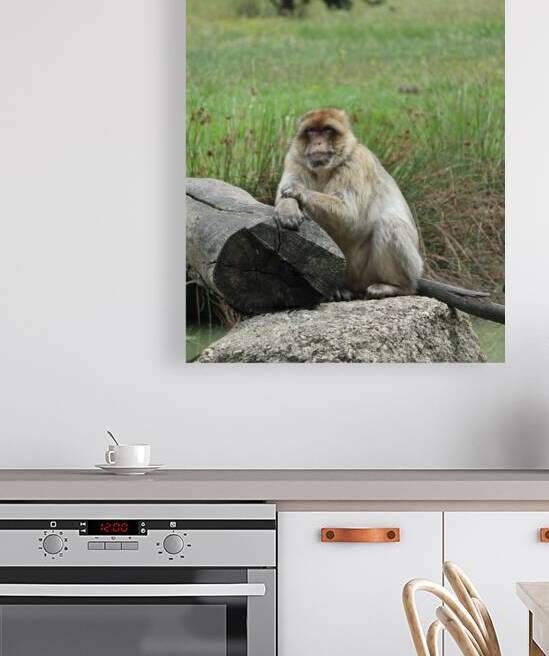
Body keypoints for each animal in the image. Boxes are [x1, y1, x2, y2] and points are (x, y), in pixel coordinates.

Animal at [274, 108, 423, 299]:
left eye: (327, 130)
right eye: (311, 131)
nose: (318, 142)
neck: (324, 170)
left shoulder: (356, 162)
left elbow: (350, 217)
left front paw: (299, 191)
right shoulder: (294, 159)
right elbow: (282, 198)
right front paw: (288, 211)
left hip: (376, 271)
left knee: (390, 223)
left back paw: (399, 287)